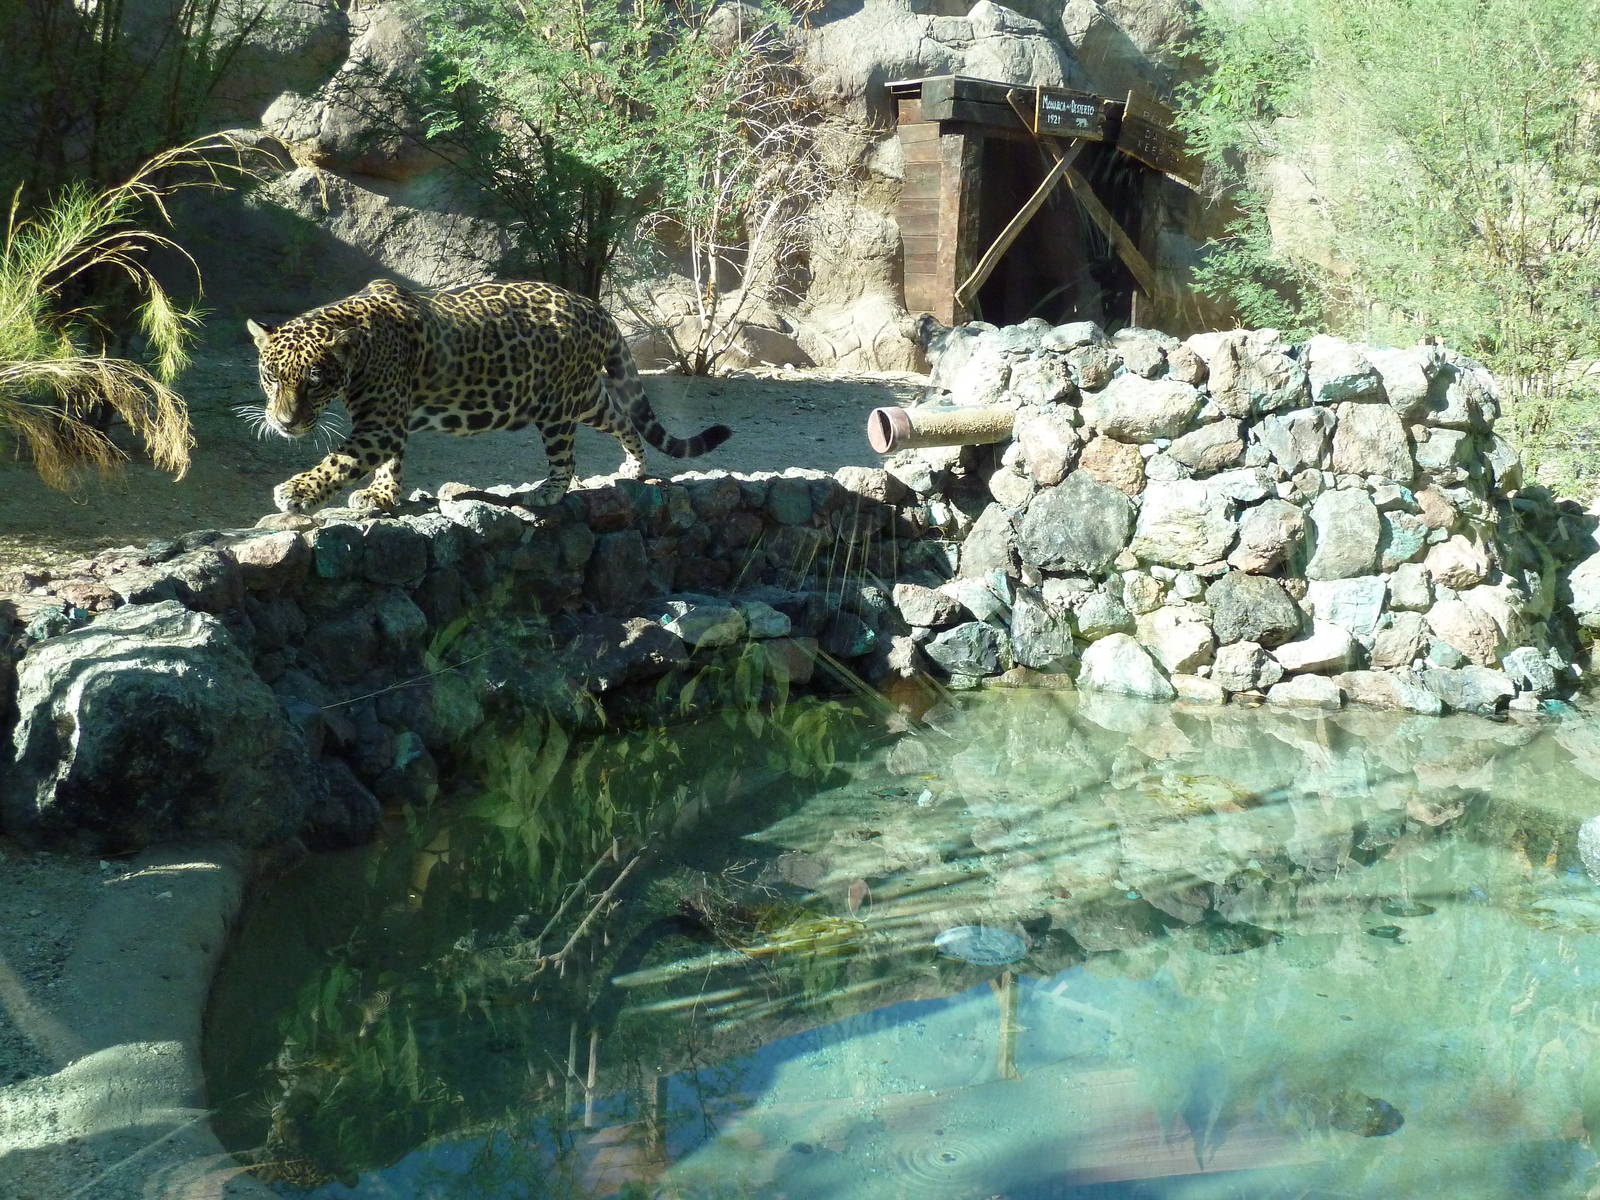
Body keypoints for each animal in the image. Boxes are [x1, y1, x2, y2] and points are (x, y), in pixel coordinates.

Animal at [243, 278, 731, 514]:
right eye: (271, 378)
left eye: (313, 381)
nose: (284, 423)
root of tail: (595, 306)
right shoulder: (389, 422)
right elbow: (388, 464)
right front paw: (381, 496)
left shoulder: (380, 424)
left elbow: (339, 461)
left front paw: (297, 491)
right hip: (585, 395)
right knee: (623, 415)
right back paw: (634, 466)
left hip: (557, 405)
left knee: (566, 456)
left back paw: (548, 492)